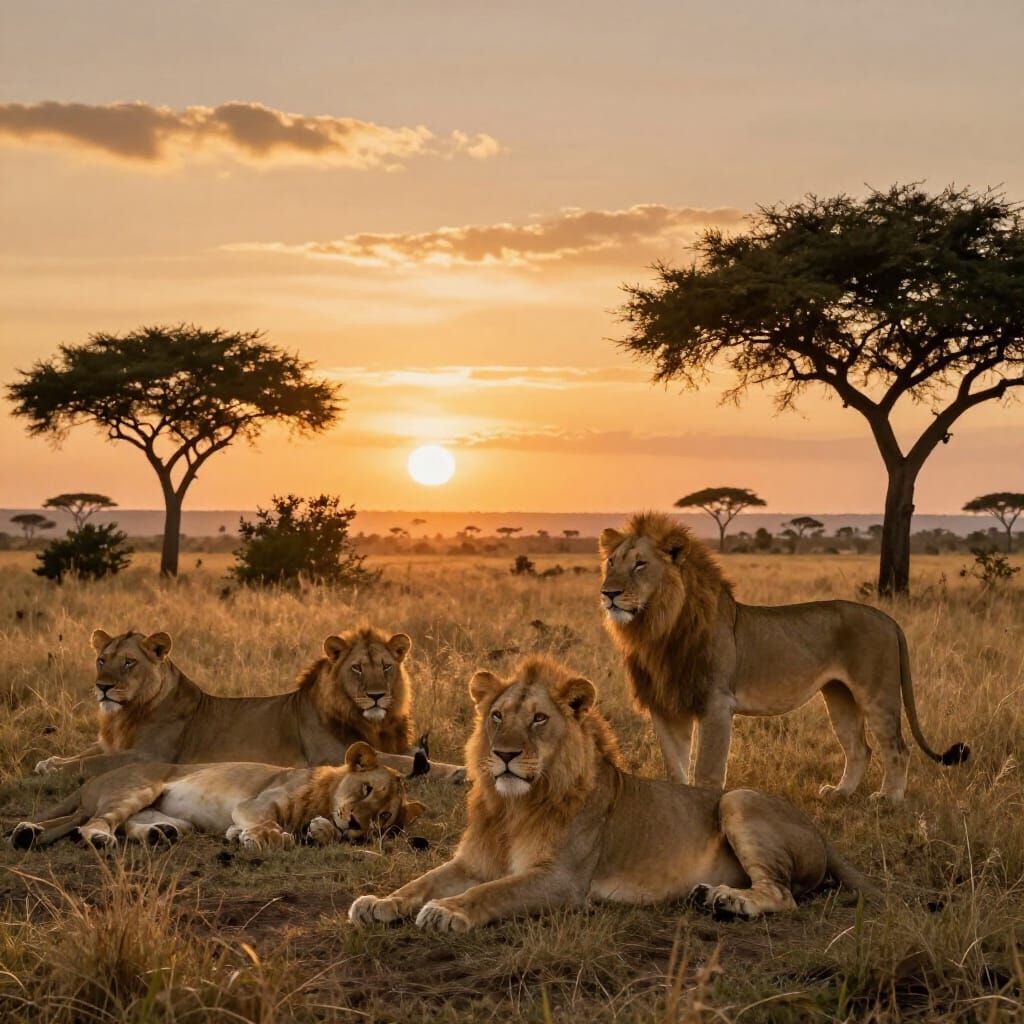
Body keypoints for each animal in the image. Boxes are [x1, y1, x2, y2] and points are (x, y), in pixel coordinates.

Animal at [11, 741, 424, 852]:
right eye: (366, 789)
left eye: (383, 817)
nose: (355, 823)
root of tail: (91, 783)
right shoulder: (255, 804)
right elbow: (273, 829)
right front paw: (261, 838)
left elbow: (316, 832)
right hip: (137, 788)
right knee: (90, 824)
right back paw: (98, 838)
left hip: (170, 816)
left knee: (122, 824)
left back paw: (159, 835)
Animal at [33, 625, 465, 782]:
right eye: (102, 660)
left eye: (129, 663)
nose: (103, 687)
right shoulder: (122, 749)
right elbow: (88, 756)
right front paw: (50, 762)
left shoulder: (145, 756)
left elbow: (401, 757)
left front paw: (456, 770)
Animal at [348, 655, 873, 932]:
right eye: (497, 715)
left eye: (538, 719)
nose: (504, 754)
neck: (514, 806)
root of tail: (820, 831)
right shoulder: (472, 862)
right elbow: (421, 882)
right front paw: (379, 902)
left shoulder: (561, 880)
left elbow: (493, 891)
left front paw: (448, 910)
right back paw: (712, 895)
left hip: (738, 799)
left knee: (782, 894)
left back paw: (732, 901)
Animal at [599, 512, 969, 801]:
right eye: (611, 563)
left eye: (640, 564)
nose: (608, 593)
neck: (657, 627)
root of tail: (888, 619)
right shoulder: (666, 706)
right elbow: (675, 770)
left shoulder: (716, 704)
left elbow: (707, 771)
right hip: (839, 696)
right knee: (859, 748)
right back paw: (840, 793)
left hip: (877, 693)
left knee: (897, 747)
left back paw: (888, 798)